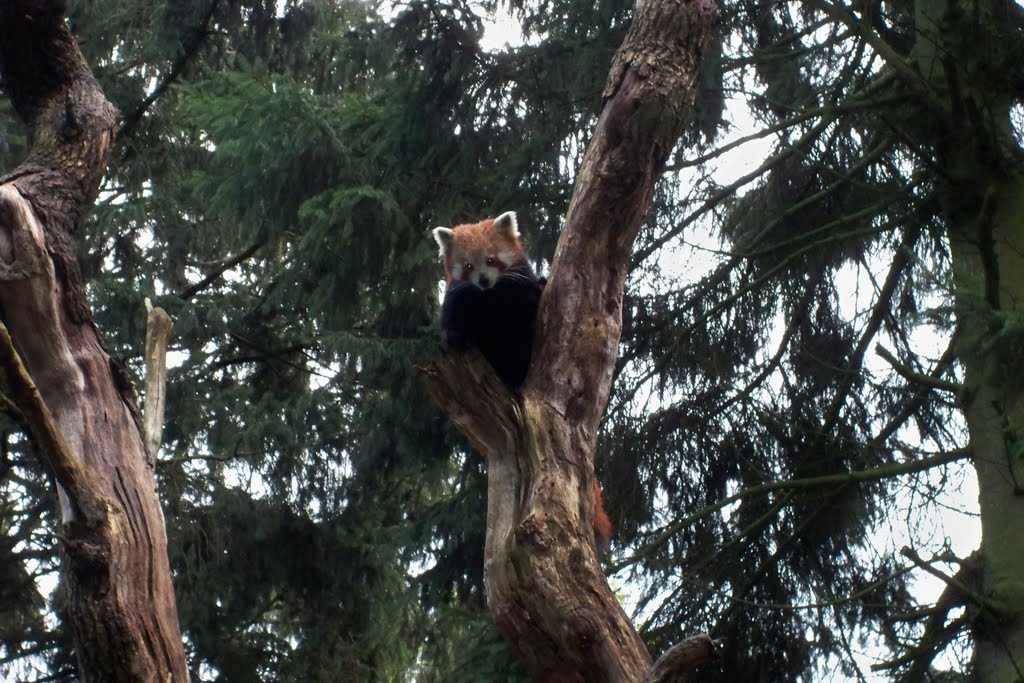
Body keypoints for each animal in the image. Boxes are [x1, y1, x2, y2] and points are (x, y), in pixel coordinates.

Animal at [430, 211, 606, 548]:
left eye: (491, 259)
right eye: (468, 266)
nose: (483, 281)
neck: (491, 299)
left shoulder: (520, 295)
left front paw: (540, 284)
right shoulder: (459, 299)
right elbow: (452, 322)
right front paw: (455, 339)